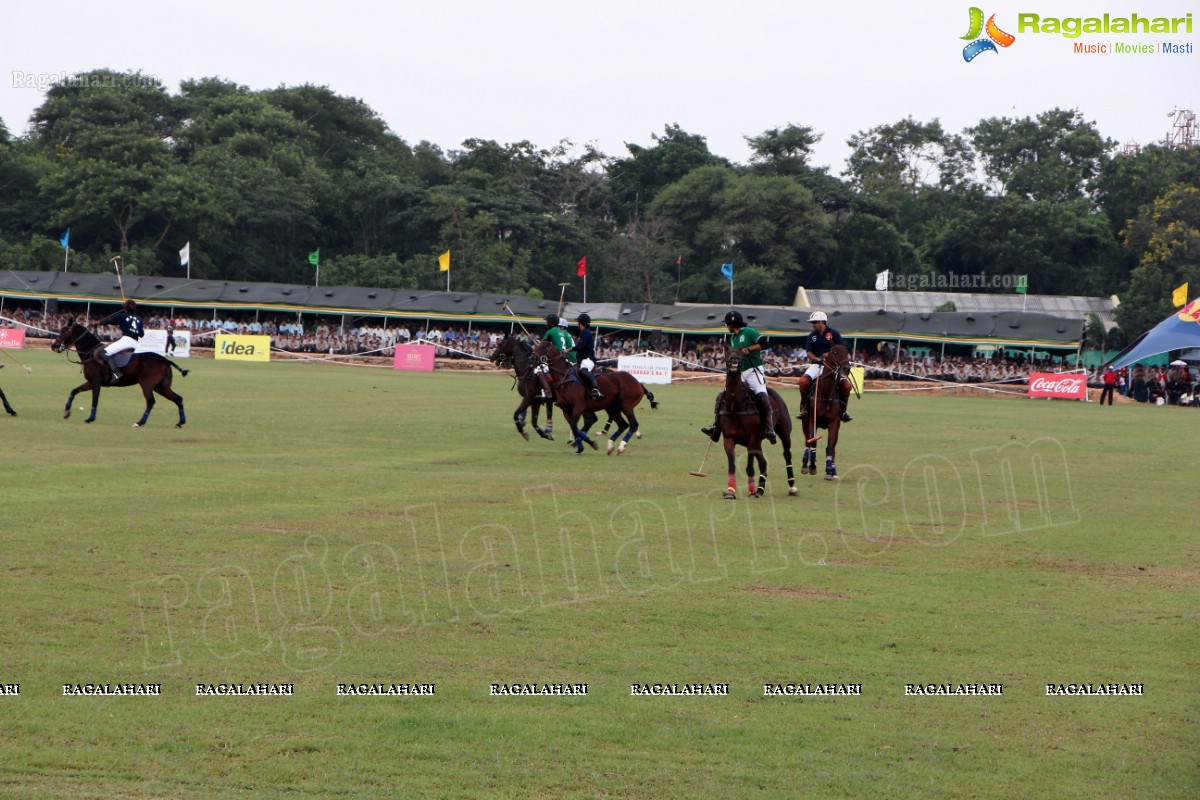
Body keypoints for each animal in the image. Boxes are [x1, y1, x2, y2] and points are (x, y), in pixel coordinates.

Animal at [51, 321, 187, 429]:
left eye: (64, 331)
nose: (53, 346)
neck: (90, 353)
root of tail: (165, 361)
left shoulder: (96, 382)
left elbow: (95, 399)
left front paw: (90, 418)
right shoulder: (90, 382)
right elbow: (74, 391)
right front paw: (67, 412)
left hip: (146, 384)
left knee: (150, 401)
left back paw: (140, 422)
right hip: (161, 387)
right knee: (178, 398)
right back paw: (180, 423)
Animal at [710, 355, 796, 501]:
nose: (733, 363)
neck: (736, 407)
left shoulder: (751, 440)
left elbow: (750, 467)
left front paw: (751, 490)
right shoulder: (729, 439)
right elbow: (732, 465)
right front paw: (731, 492)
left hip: (784, 434)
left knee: (787, 455)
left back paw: (792, 487)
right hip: (758, 442)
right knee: (763, 462)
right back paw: (759, 489)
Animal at [796, 340, 854, 479]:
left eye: (847, 352)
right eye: (835, 352)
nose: (846, 368)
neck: (826, 394)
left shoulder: (835, 423)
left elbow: (830, 446)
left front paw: (829, 469)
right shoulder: (812, 421)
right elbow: (813, 443)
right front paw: (812, 467)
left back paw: (833, 471)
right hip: (804, 421)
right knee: (807, 441)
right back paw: (805, 464)